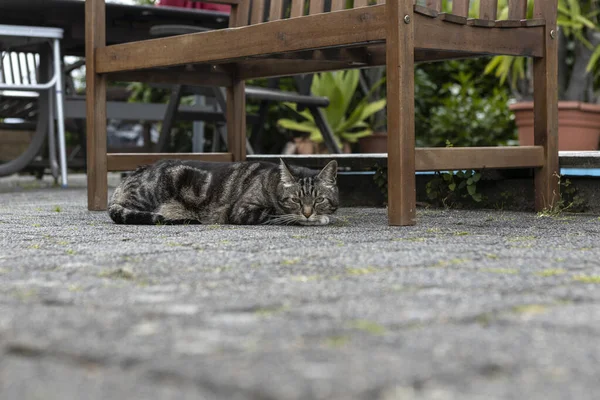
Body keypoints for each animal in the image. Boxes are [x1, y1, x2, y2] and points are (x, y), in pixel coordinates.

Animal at [109, 160, 338, 228]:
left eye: (319, 200)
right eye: (295, 200)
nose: (308, 213)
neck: (273, 182)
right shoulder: (243, 210)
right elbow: (279, 214)